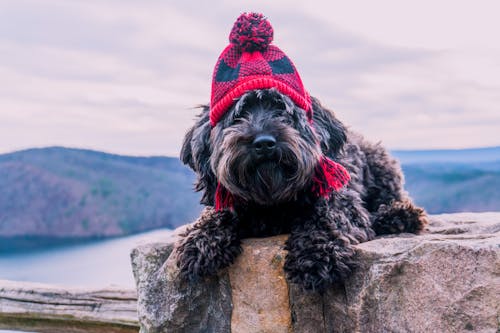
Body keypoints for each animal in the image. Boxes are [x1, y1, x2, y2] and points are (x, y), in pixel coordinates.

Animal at [173, 13, 426, 290]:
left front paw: (317, 255)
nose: (264, 142)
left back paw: (397, 215)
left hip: (382, 166)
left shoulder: (341, 200)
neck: (272, 200)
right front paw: (201, 240)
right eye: (238, 115)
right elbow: (218, 213)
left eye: (282, 109)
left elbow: (326, 216)